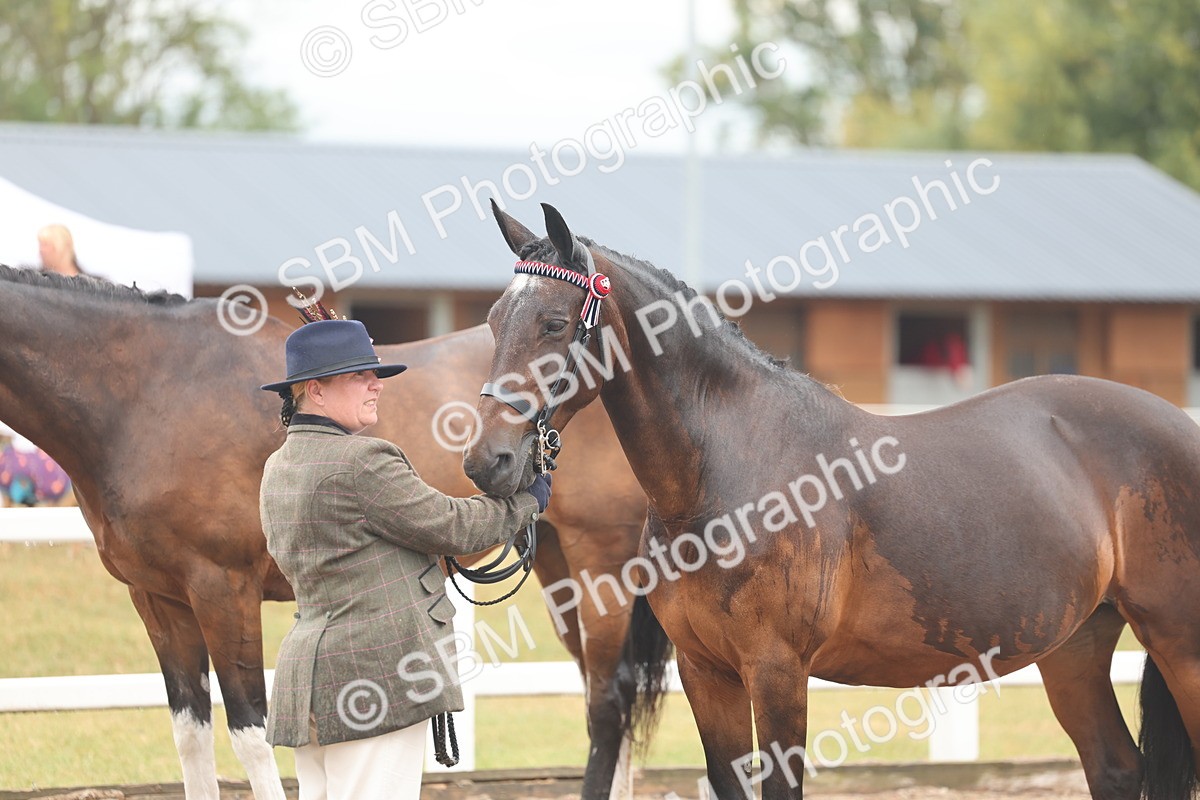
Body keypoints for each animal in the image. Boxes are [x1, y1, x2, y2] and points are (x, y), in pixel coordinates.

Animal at [0, 265, 668, 800]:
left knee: (609, 702)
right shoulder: (158, 599)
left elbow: (251, 733)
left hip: (601, 561)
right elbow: (191, 736)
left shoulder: (221, 590)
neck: (146, 396)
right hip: (558, 568)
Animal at [464, 201, 1200, 800]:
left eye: (554, 322)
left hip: (1180, 645)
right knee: (1115, 768)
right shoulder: (707, 673)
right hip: (1077, 643)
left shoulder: (778, 672)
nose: (486, 460)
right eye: (494, 320)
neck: (727, 471)